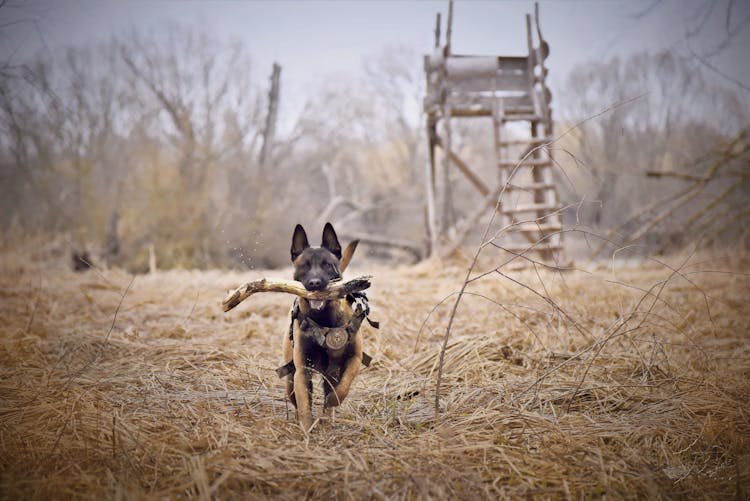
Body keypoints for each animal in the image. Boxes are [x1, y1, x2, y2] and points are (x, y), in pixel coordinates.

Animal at [282, 223, 364, 430]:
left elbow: (341, 389)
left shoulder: (354, 359)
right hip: (290, 379)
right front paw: (307, 428)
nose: (314, 283)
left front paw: (332, 402)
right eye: (304, 266)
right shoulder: (302, 370)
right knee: (295, 399)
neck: (324, 319)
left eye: (327, 265)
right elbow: (304, 403)